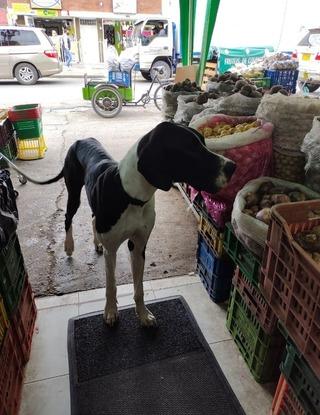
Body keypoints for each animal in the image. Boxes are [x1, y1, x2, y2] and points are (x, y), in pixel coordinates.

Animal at [24, 122, 235, 328]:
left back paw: (96, 243)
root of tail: (80, 140)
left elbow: (139, 287)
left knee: (92, 219)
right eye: (189, 148)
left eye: (203, 142)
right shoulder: (112, 250)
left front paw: (143, 315)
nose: (233, 166)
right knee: (68, 217)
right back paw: (69, 246)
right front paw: (110, 312)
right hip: (74, 193)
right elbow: (111, 285)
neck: (130, 195)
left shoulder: (139, 245)